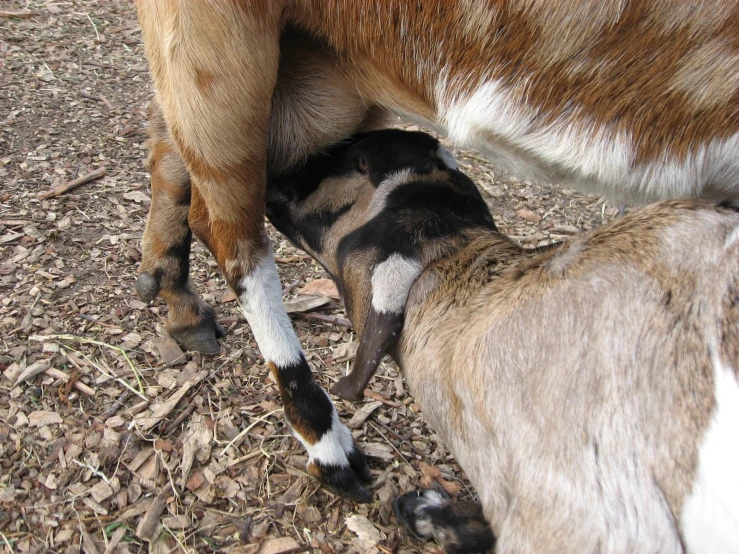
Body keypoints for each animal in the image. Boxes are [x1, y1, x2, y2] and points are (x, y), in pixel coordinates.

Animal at [136, 0, 736, 498]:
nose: (289, 188)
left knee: (173, 149)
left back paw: (178, 304)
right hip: (220, 52)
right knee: (232, 237)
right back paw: (330, 448)